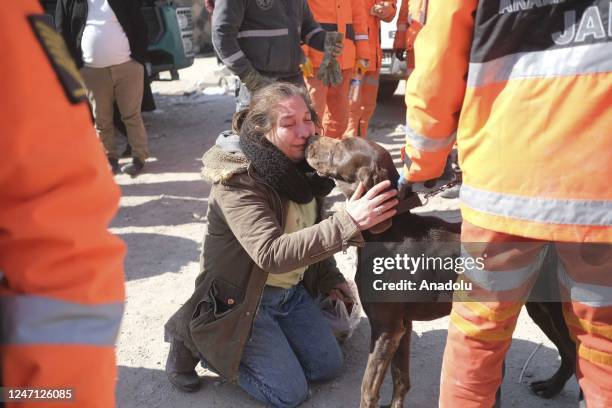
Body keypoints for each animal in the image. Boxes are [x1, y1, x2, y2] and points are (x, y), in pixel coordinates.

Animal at [306, 136, 580, 408]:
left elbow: (368, 389)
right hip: (540, 308)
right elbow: (400, 379)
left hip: (555, 310)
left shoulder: (386, 327)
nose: (310, 138)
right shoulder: (402, 326)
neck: (389, 230)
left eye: (342, 144)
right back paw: (551, 387)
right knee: (568, 354)